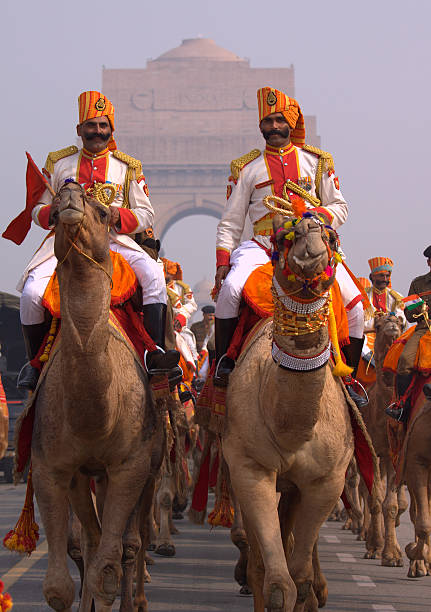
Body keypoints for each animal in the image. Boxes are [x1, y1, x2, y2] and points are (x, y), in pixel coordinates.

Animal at [30, 182, 165, 612]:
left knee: (130, 542)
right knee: (90, 540)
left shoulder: (131, 465)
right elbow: (59, 585)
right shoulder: (51, 465)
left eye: (104, 211)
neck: (94, 417)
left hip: (150, 462)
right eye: (54, 210)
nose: (72, 191)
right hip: (86, 475)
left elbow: (109, 567)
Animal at [221, 212, 356, 612]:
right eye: (283, 238)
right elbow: (277, 582)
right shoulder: (250, 466)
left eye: (331, 236)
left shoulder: (327, 479)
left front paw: (313, 590)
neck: (291, 428)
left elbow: (299, 576)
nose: (309, 231)